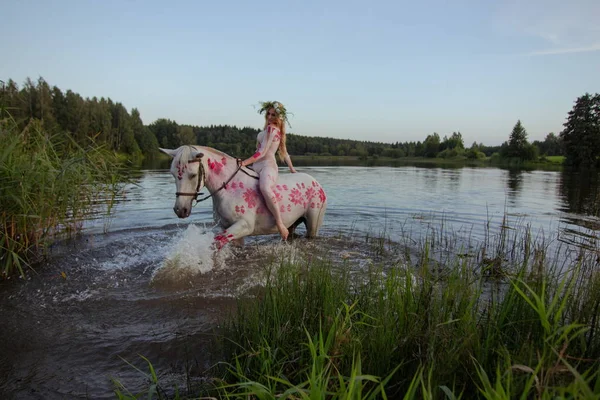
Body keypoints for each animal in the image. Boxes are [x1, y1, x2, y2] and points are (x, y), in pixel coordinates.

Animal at [159, 145, 328, 248]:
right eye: (173, 174)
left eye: (193, 175)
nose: (180, 210)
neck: (228, 189)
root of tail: (316, 183)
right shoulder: (229, 227)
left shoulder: (244, 226)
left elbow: (216, 242)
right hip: (292, 223)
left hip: (313, 224)